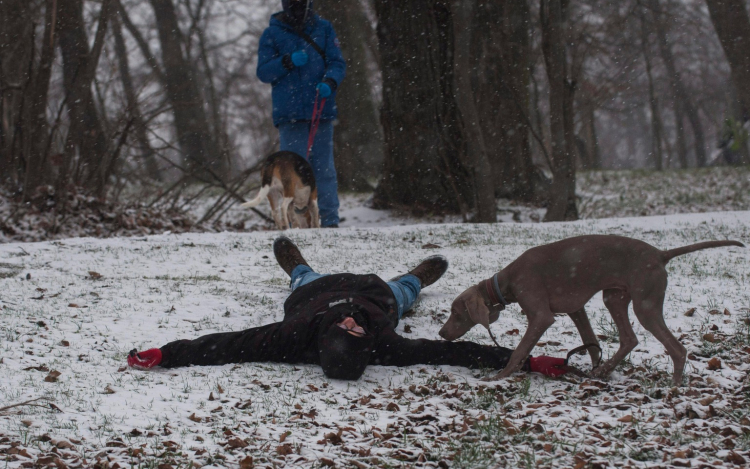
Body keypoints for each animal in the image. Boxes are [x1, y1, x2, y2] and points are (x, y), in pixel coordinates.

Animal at [440, 234, 748, 384]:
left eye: (456, 313)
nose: (442, 334)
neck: (507, 281)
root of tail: (660, 254)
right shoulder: (577, 310)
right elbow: (591, 344)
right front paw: (592, 366)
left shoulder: (541, 316)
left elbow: (519, 350)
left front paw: (500, 376)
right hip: (614, 297)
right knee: (629, 339)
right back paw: (602, 372)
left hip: (645, 305)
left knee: (677, 348)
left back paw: (673, 385)